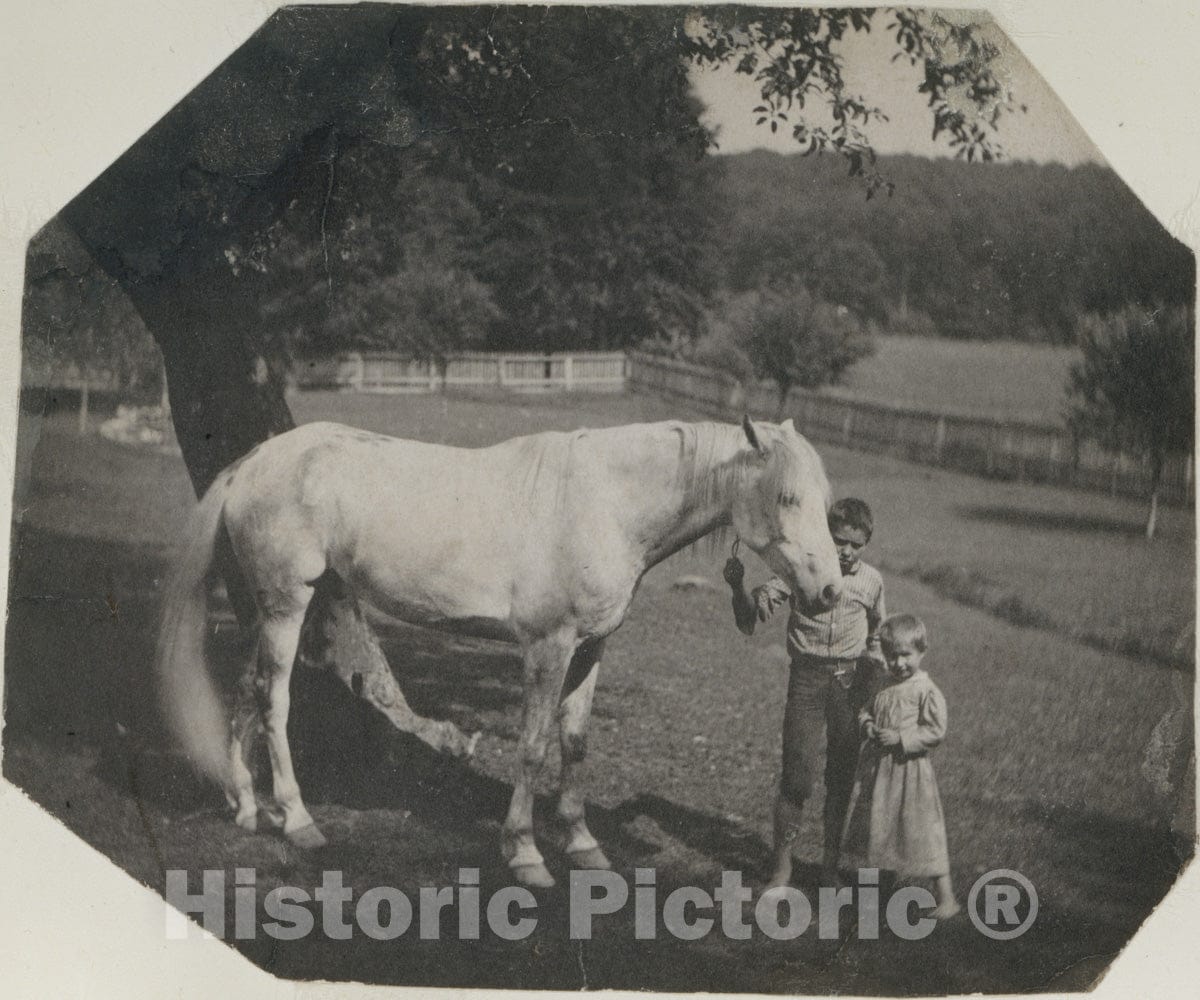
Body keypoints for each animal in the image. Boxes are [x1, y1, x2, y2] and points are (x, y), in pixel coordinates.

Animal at [155, 414, 843, 887]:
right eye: (787, 498)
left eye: (825, 501)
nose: (830, 591)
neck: (604, 504)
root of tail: (252, 463)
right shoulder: (547, 648)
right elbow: (533, 747)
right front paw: (526, 854)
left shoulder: (590, 649)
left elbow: (575, 743)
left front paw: (584, 846)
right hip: (287, 605)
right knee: (274, 700)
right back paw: (297, 820)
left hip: (270, 609)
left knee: (246, 690)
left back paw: (247, 807)